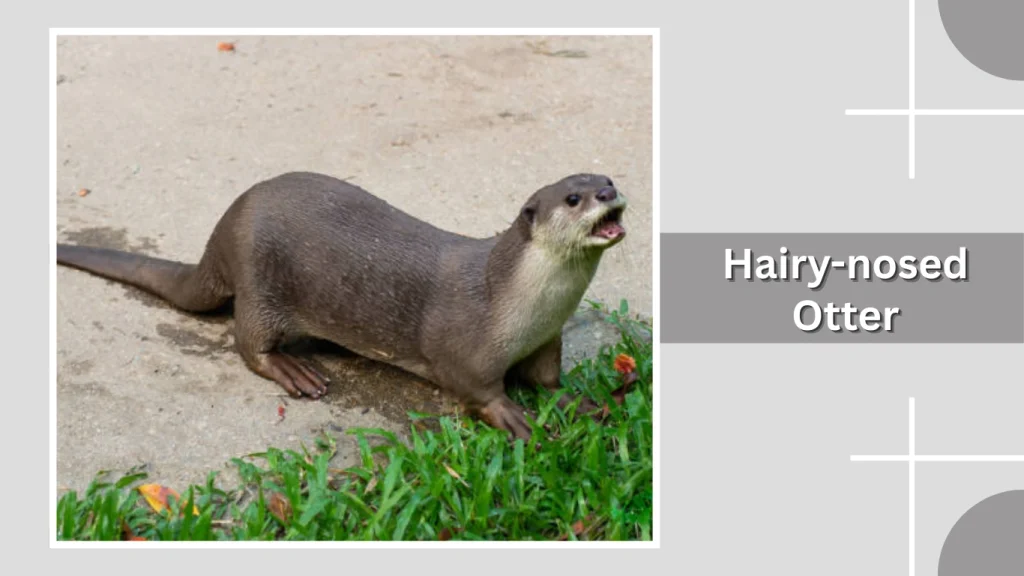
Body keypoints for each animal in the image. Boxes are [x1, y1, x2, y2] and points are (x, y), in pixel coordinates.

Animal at [57, 172, 628, 440]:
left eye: (605, 178)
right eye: (572, 199)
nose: (607, 193)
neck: (519, 303)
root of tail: (224, 226)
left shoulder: (546, 340)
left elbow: (548, 380)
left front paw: (580, 401)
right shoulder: (466, 347)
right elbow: (476, 390)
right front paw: (512, 416)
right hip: (260, 280)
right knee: (248, 343)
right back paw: (294, 370)